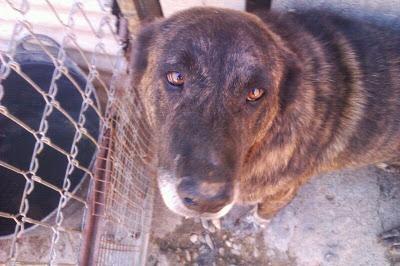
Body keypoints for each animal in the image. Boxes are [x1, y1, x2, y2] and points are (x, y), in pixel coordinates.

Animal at [132, 7, 400, 254]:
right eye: (176, 76)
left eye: (255, 92)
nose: (206, 201)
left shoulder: (285, 189)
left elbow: (266, 209)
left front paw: (252, 222)